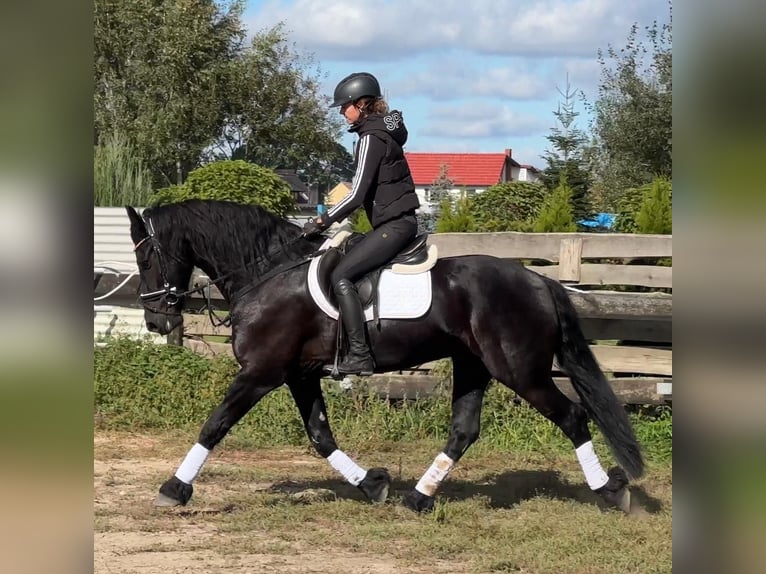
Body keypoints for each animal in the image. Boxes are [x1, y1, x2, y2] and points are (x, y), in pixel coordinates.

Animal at [124, 200, 640, 516]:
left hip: (520, 371)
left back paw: (610, 491)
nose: (156, 322)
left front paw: (174, 488)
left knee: (572, 416)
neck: (267, 272)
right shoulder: (298, 375)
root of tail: (539, 281)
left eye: (146, 257)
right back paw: (419, 498)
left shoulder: (261, 373)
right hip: (473, 366)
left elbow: (214, 425)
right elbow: (321, 438)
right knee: (464, 430)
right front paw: (372, 484)